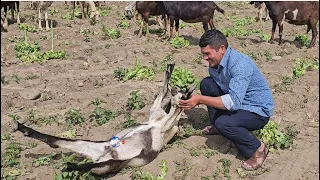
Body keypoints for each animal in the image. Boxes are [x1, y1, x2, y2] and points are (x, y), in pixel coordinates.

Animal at [12, 63, 194, 176]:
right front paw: (171, 73)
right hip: (92, 150)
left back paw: (70, 165)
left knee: (84, 161)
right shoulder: (159, 116)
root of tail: (102, 155)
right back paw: (22, 128)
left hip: (109, 163)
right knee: (55, 141)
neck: (158, 123)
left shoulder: (166, 125)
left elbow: (174, 108)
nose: (179, 89)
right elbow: (163, 92)